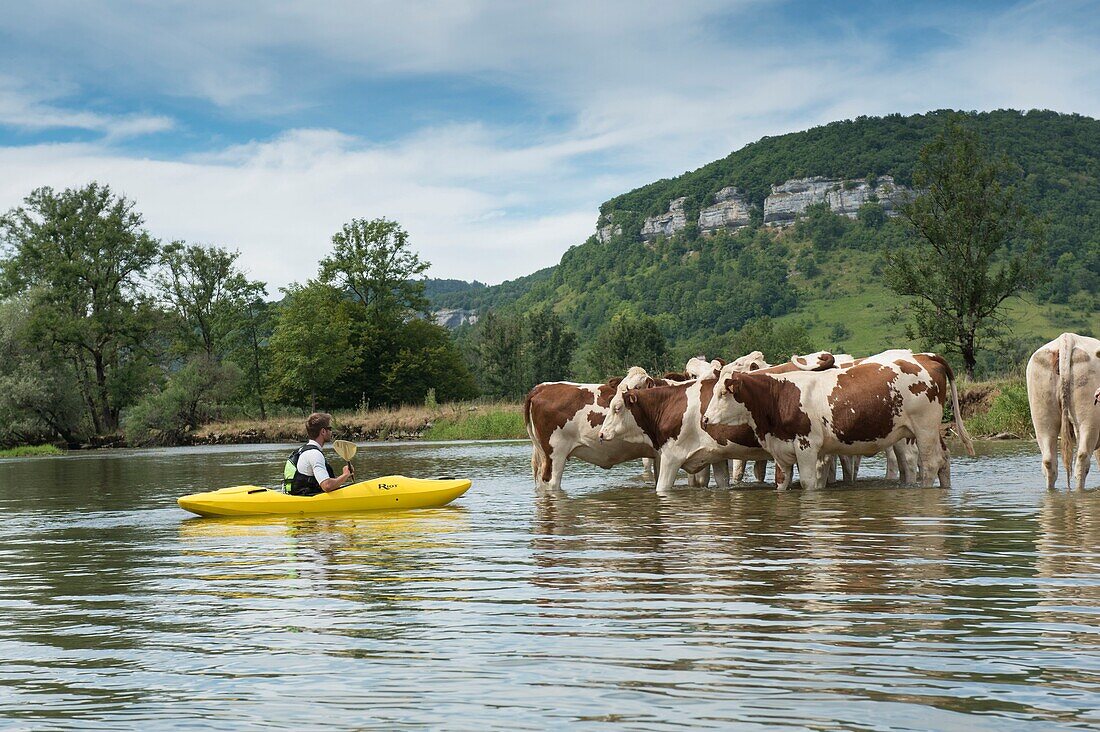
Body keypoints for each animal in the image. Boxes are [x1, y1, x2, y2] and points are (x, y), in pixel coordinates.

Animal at [699, 350, 976, 488]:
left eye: (723, 392)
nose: (705, 419)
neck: (781, 394)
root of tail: (924, 357)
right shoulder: (781, 450)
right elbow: (781, 483)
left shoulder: (807, 448)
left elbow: (809, 483)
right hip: (927, 430)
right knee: (943, 459)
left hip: (923, 428)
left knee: (927, 463)